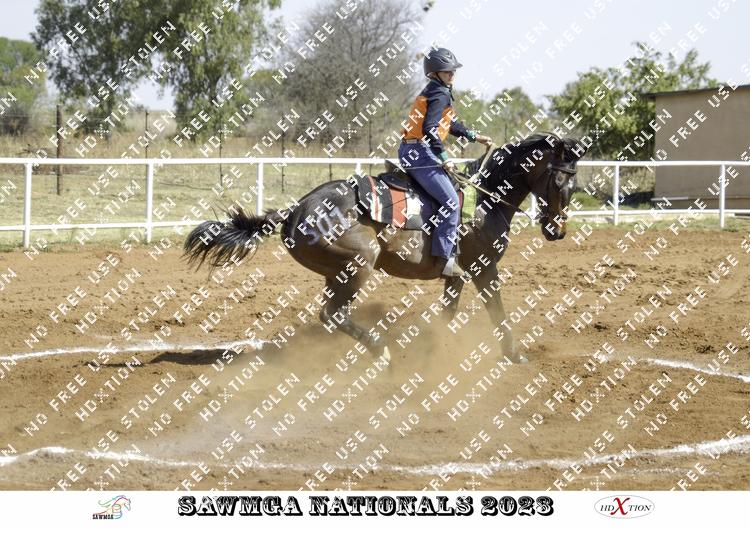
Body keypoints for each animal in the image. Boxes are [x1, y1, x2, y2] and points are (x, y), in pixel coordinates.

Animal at [184, 132, 585, 362]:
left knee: (332, 314)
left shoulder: (455, 275)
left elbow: (449, 313)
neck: (487, 199)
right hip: (359, 263)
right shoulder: (485, 267)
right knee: (332, 315)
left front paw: (440, 348)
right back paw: (380, 349)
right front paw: (514, 354)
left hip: (337, 272)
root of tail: (295, 210)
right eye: (561, 181)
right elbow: (498, 311)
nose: (558, 231)